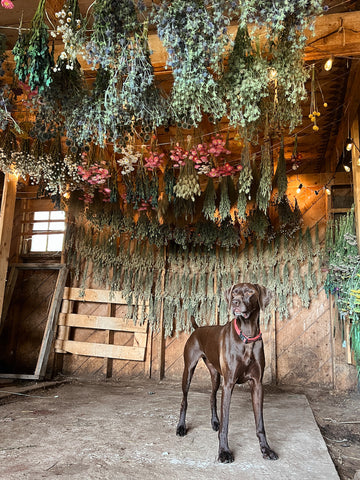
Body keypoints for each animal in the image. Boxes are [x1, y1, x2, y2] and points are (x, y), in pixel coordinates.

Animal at [176, 284, 278, 464]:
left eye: (250, 292)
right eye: (234, 292)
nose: (235, 302)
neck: (247, 335)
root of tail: (198, 329)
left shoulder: (257, 385)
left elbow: (260, 423)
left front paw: (266, 449)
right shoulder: (229, 384)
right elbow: (226, 424)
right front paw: (224, 451)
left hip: (216, 375)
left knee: (212, 397)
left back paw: (214, 421)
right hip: (188, 371)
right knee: (184, 401)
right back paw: (181, 427)